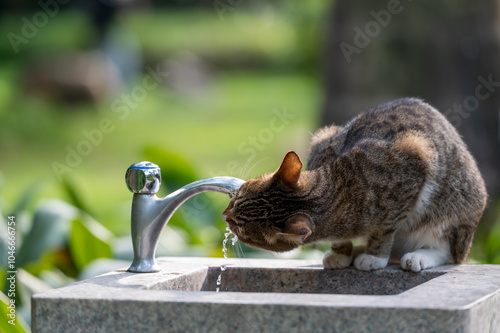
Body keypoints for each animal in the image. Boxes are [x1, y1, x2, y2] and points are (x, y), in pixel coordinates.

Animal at [224, 97, 488, 272]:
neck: (339, 191)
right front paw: (342, 252)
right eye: (238, 196)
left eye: (242, 230)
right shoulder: (324, 140)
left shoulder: (416, 157)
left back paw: (417, 256)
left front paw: (375, 256)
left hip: (454, 208)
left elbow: (385, 228)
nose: (225, 215)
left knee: (447, 251)